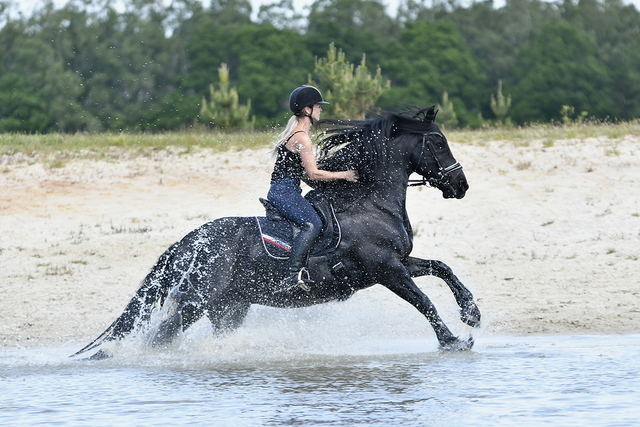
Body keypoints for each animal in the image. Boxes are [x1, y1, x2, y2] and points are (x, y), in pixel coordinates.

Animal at [72, 105, 478, 360]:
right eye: (438, 142)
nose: (461, 185)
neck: (369, 202)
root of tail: (188, 243)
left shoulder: (399, 261)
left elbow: (442, 267)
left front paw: (471, 312)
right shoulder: (385, 268)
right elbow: (424, 302)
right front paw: (453, 341)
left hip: (229, 309)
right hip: (194, 301)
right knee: (158, 339)